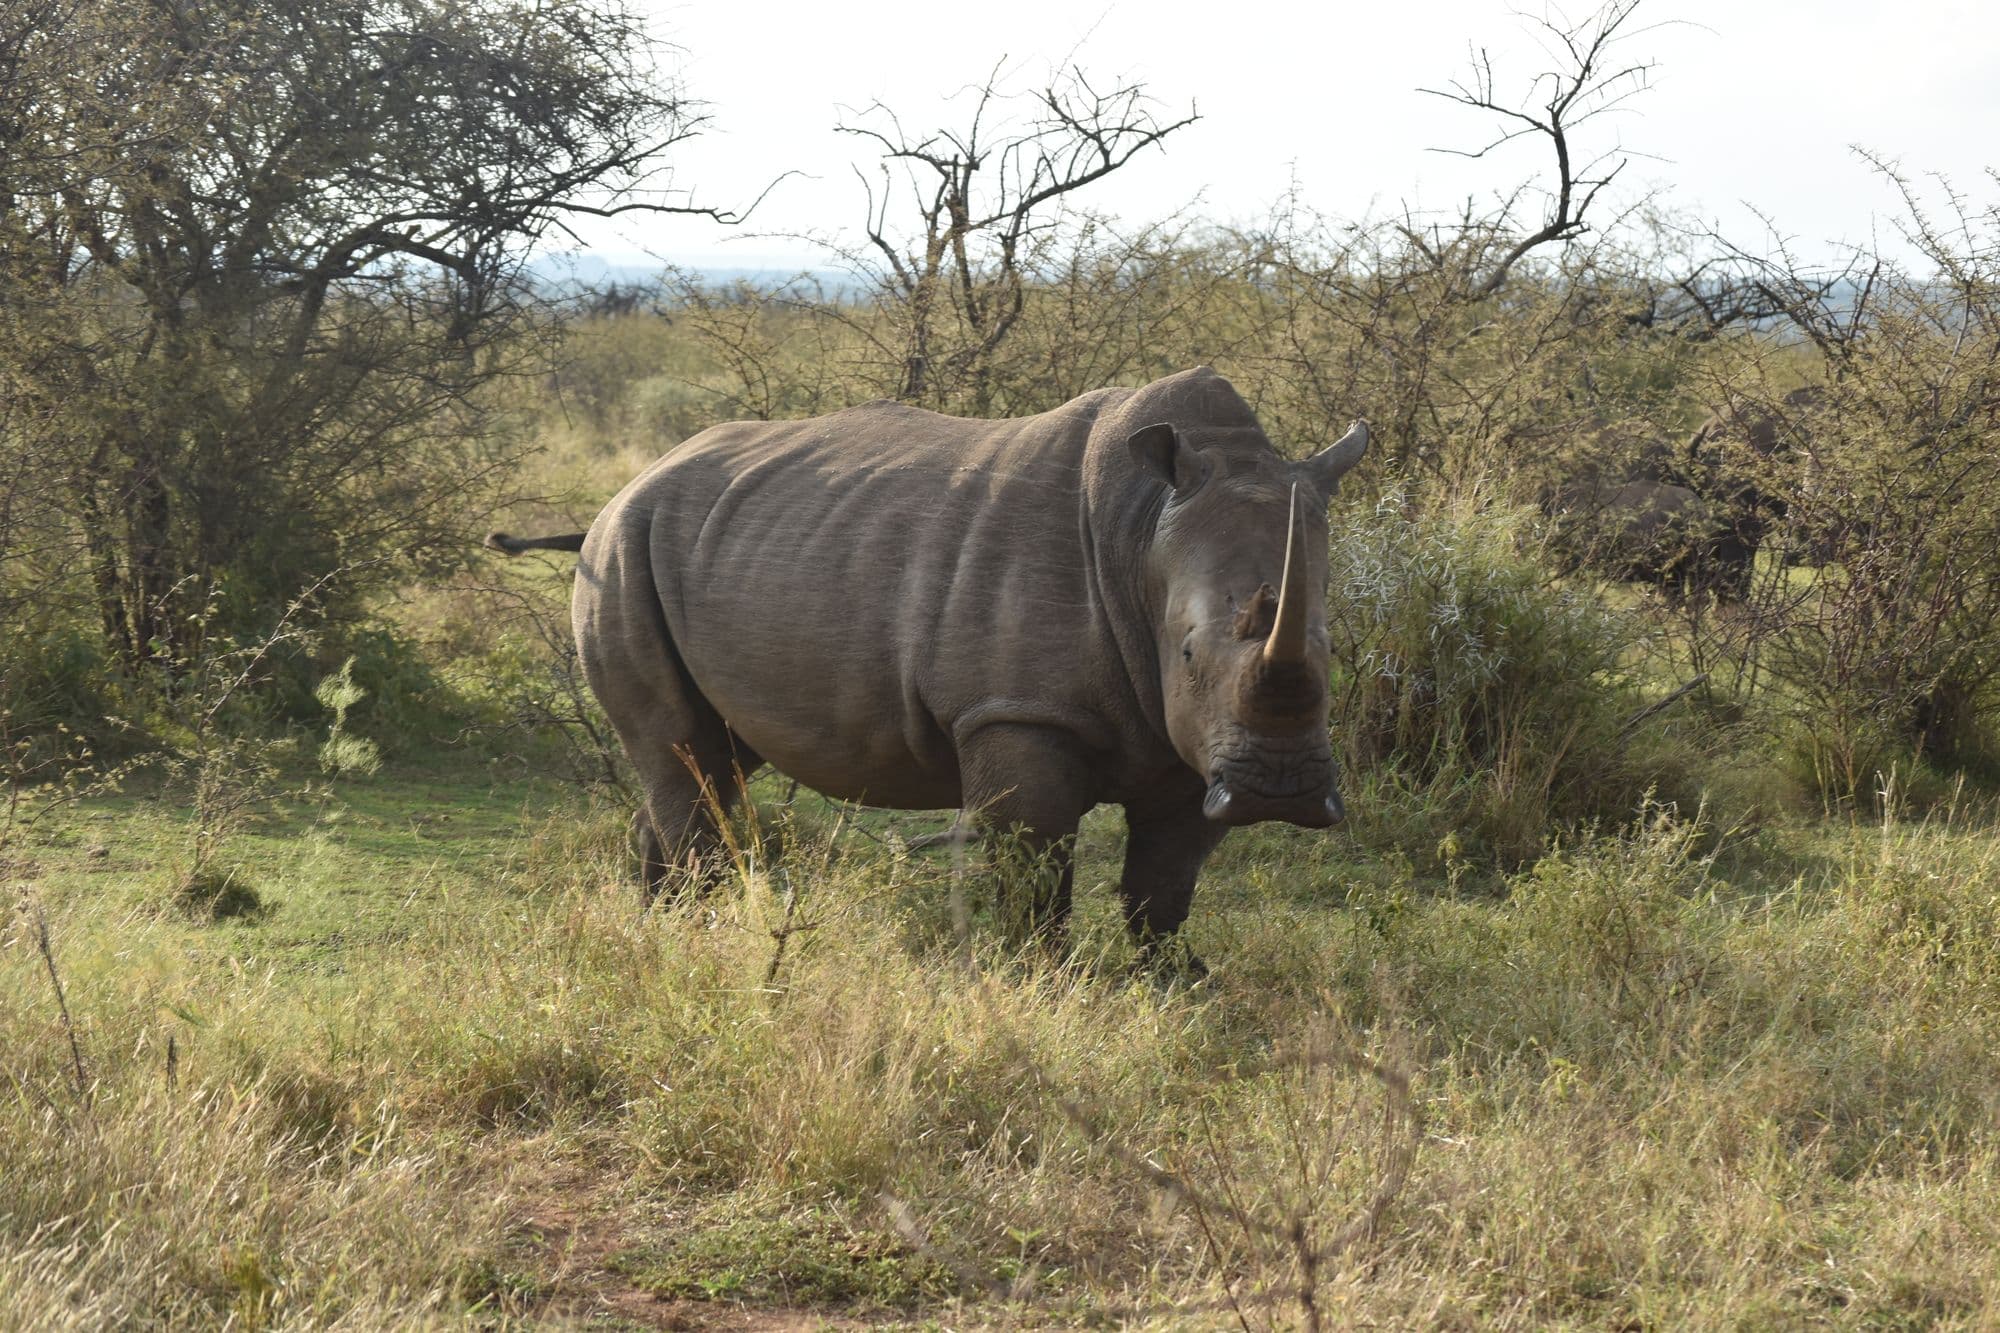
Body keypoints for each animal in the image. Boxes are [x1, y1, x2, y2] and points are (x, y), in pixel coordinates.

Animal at [489, 367, 1368, 960]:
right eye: (1187, 651)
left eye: (1331, 648)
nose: (1279, 791)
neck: (1143, 530)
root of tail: (619, 493)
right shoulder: (1017, 711)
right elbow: (1034, 869)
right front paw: (1040, 983)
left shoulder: (1193, 741)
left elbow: (1165, 884)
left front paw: (1178, 982)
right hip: (623, 549)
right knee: (684, 757)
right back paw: (695, 939)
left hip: (716, 543)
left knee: (710, 760)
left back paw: (659, 929)